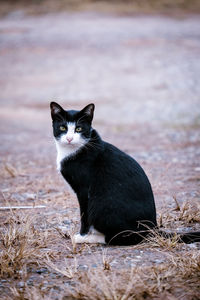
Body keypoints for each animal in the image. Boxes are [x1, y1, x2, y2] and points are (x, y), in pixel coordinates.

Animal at [50, 102, 200, 245]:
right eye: (63, 128)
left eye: (79, 129)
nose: (69, 138)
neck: (72, 150)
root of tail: (153, 228)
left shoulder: (84, 190)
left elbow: (84, 216)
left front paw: (82, 235)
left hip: (101, 204)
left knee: (123, 238)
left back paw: (91, 238)